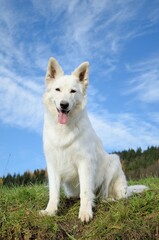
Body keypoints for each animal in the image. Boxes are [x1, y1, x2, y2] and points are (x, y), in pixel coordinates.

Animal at [40, 57, 148, 222]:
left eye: (73, 91)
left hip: (113, 162)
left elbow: (85, 191)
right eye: (57, 90)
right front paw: (50, 211)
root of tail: (126, 189)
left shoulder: (85, 162)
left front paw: (85, 212)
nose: (64, 105)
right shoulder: (53, 165)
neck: (64, 129)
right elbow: (53, 192)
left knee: (106, 195)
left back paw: (105, 199)